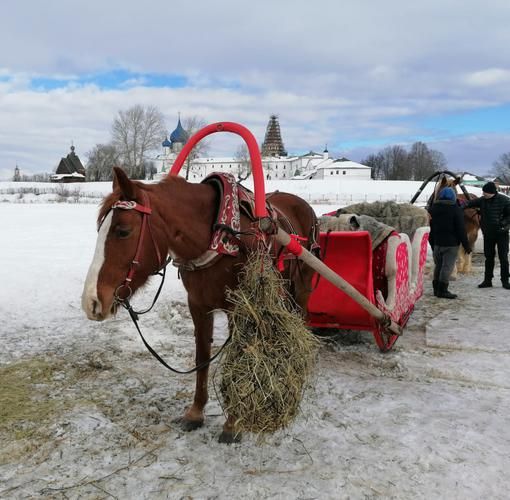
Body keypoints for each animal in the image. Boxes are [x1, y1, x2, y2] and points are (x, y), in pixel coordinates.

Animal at [81, 167, 318, 442]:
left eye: (123, 231)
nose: (91, 301)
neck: (217, 236)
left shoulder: (239, 309)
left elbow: (237, 358)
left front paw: (233, 423)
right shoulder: (198, 304)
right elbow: (202, 357)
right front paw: (196, 412)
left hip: (303, 286)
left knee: (302, 318)